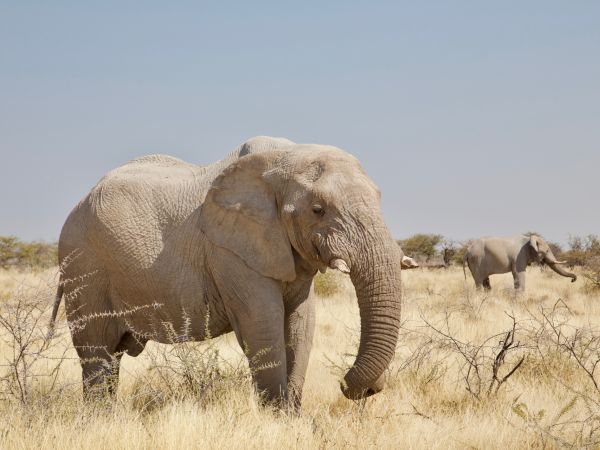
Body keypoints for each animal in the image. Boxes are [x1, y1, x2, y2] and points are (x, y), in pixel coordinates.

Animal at [48, 135, 404, 410]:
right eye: (318, 209)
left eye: (379, 197)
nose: (354, 387)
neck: (282, 159)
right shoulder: (230, 252)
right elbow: (263, 324)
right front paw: (277, 422)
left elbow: (301, 325)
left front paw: (293, 419)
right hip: (84, 267)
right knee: (97, 354)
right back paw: (97, 418)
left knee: (112, 356)